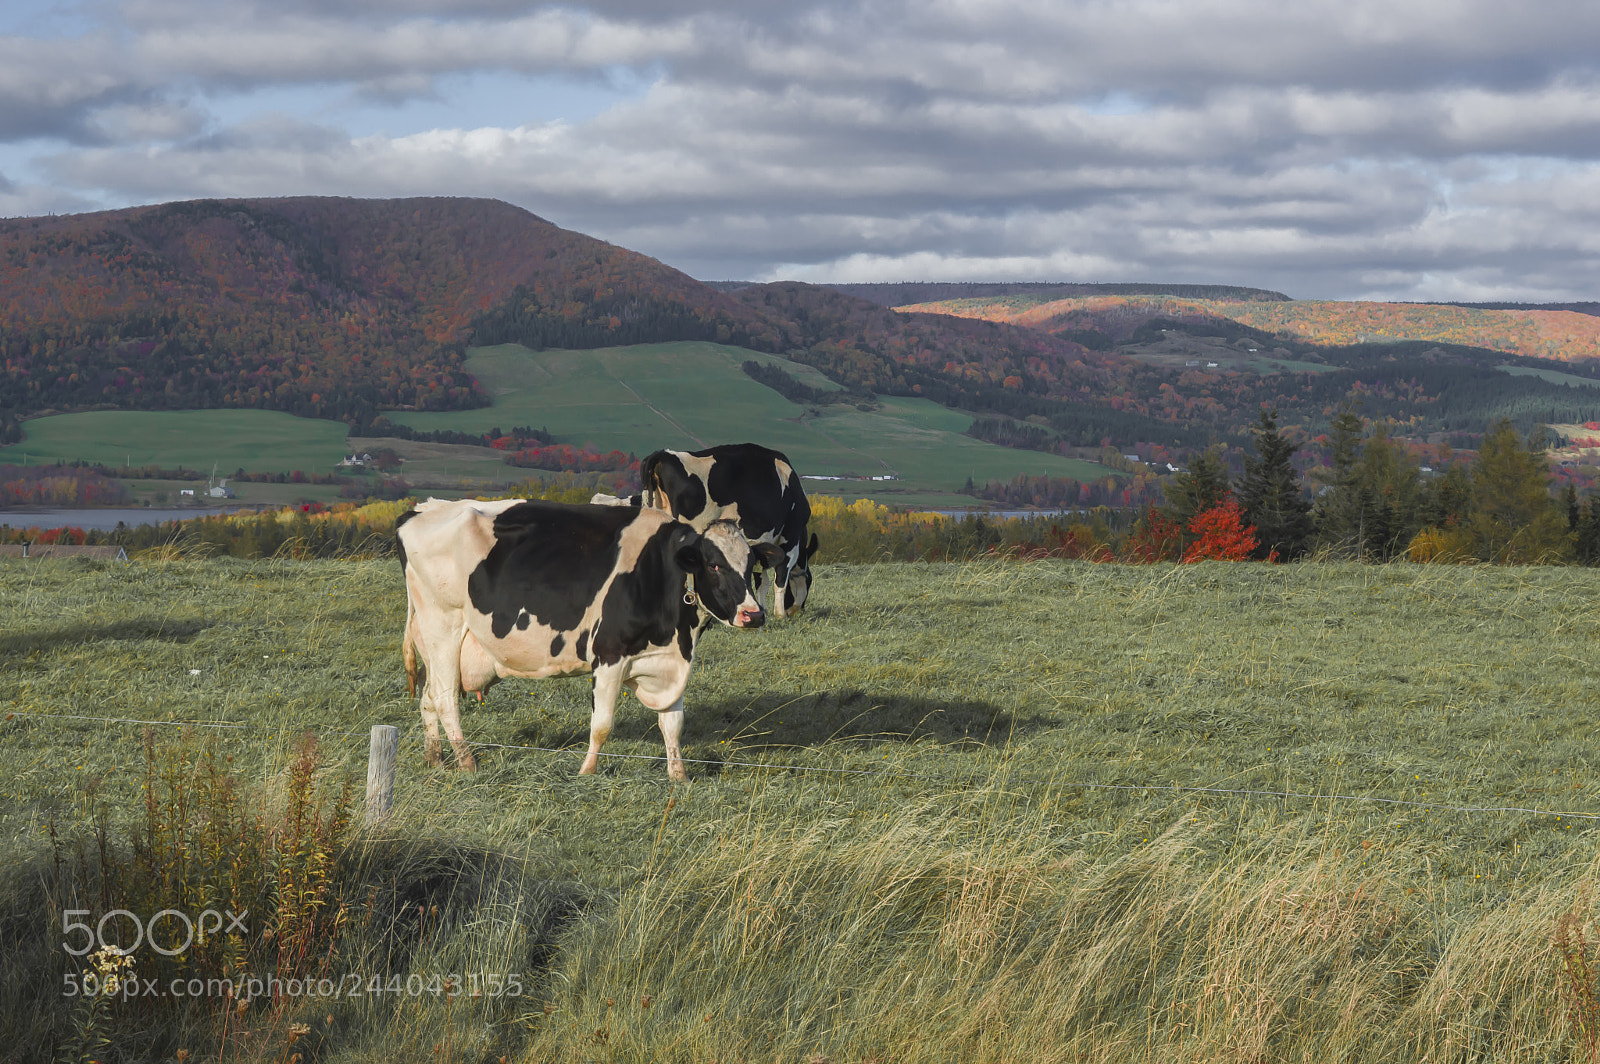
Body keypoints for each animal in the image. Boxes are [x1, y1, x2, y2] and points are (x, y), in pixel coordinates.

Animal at [396, 497, 781, 779]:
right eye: (714, 565)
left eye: (751, 567)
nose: (754, 614)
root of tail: (421, 511)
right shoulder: (609, 653)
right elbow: (602, 724)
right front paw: (587, 772)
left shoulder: (671, 659)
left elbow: (672, 725)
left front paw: (679, 776)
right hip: (442, 626)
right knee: (445, 698)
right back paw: (466, 762)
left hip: (432, 639)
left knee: (428, 698)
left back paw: (435, 759)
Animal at [631, 443, 819, 617]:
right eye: (809, 580)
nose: (800, 610)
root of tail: (662, 454)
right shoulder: (790, 537)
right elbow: (781, 576)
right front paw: (780, 614)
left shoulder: (761, 543)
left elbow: (761, 580)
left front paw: (763, 609)